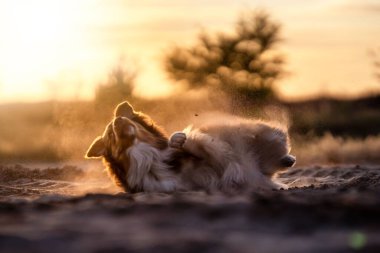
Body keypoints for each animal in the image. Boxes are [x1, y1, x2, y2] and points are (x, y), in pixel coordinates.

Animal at [84, 101, 296, 194]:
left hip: (255, 133)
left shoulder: (215, 153)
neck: (146, 159)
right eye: (110, 134)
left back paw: (286, 158)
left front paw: (178, 139)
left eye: (123, 119)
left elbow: (198, 143)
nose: (118, 119)